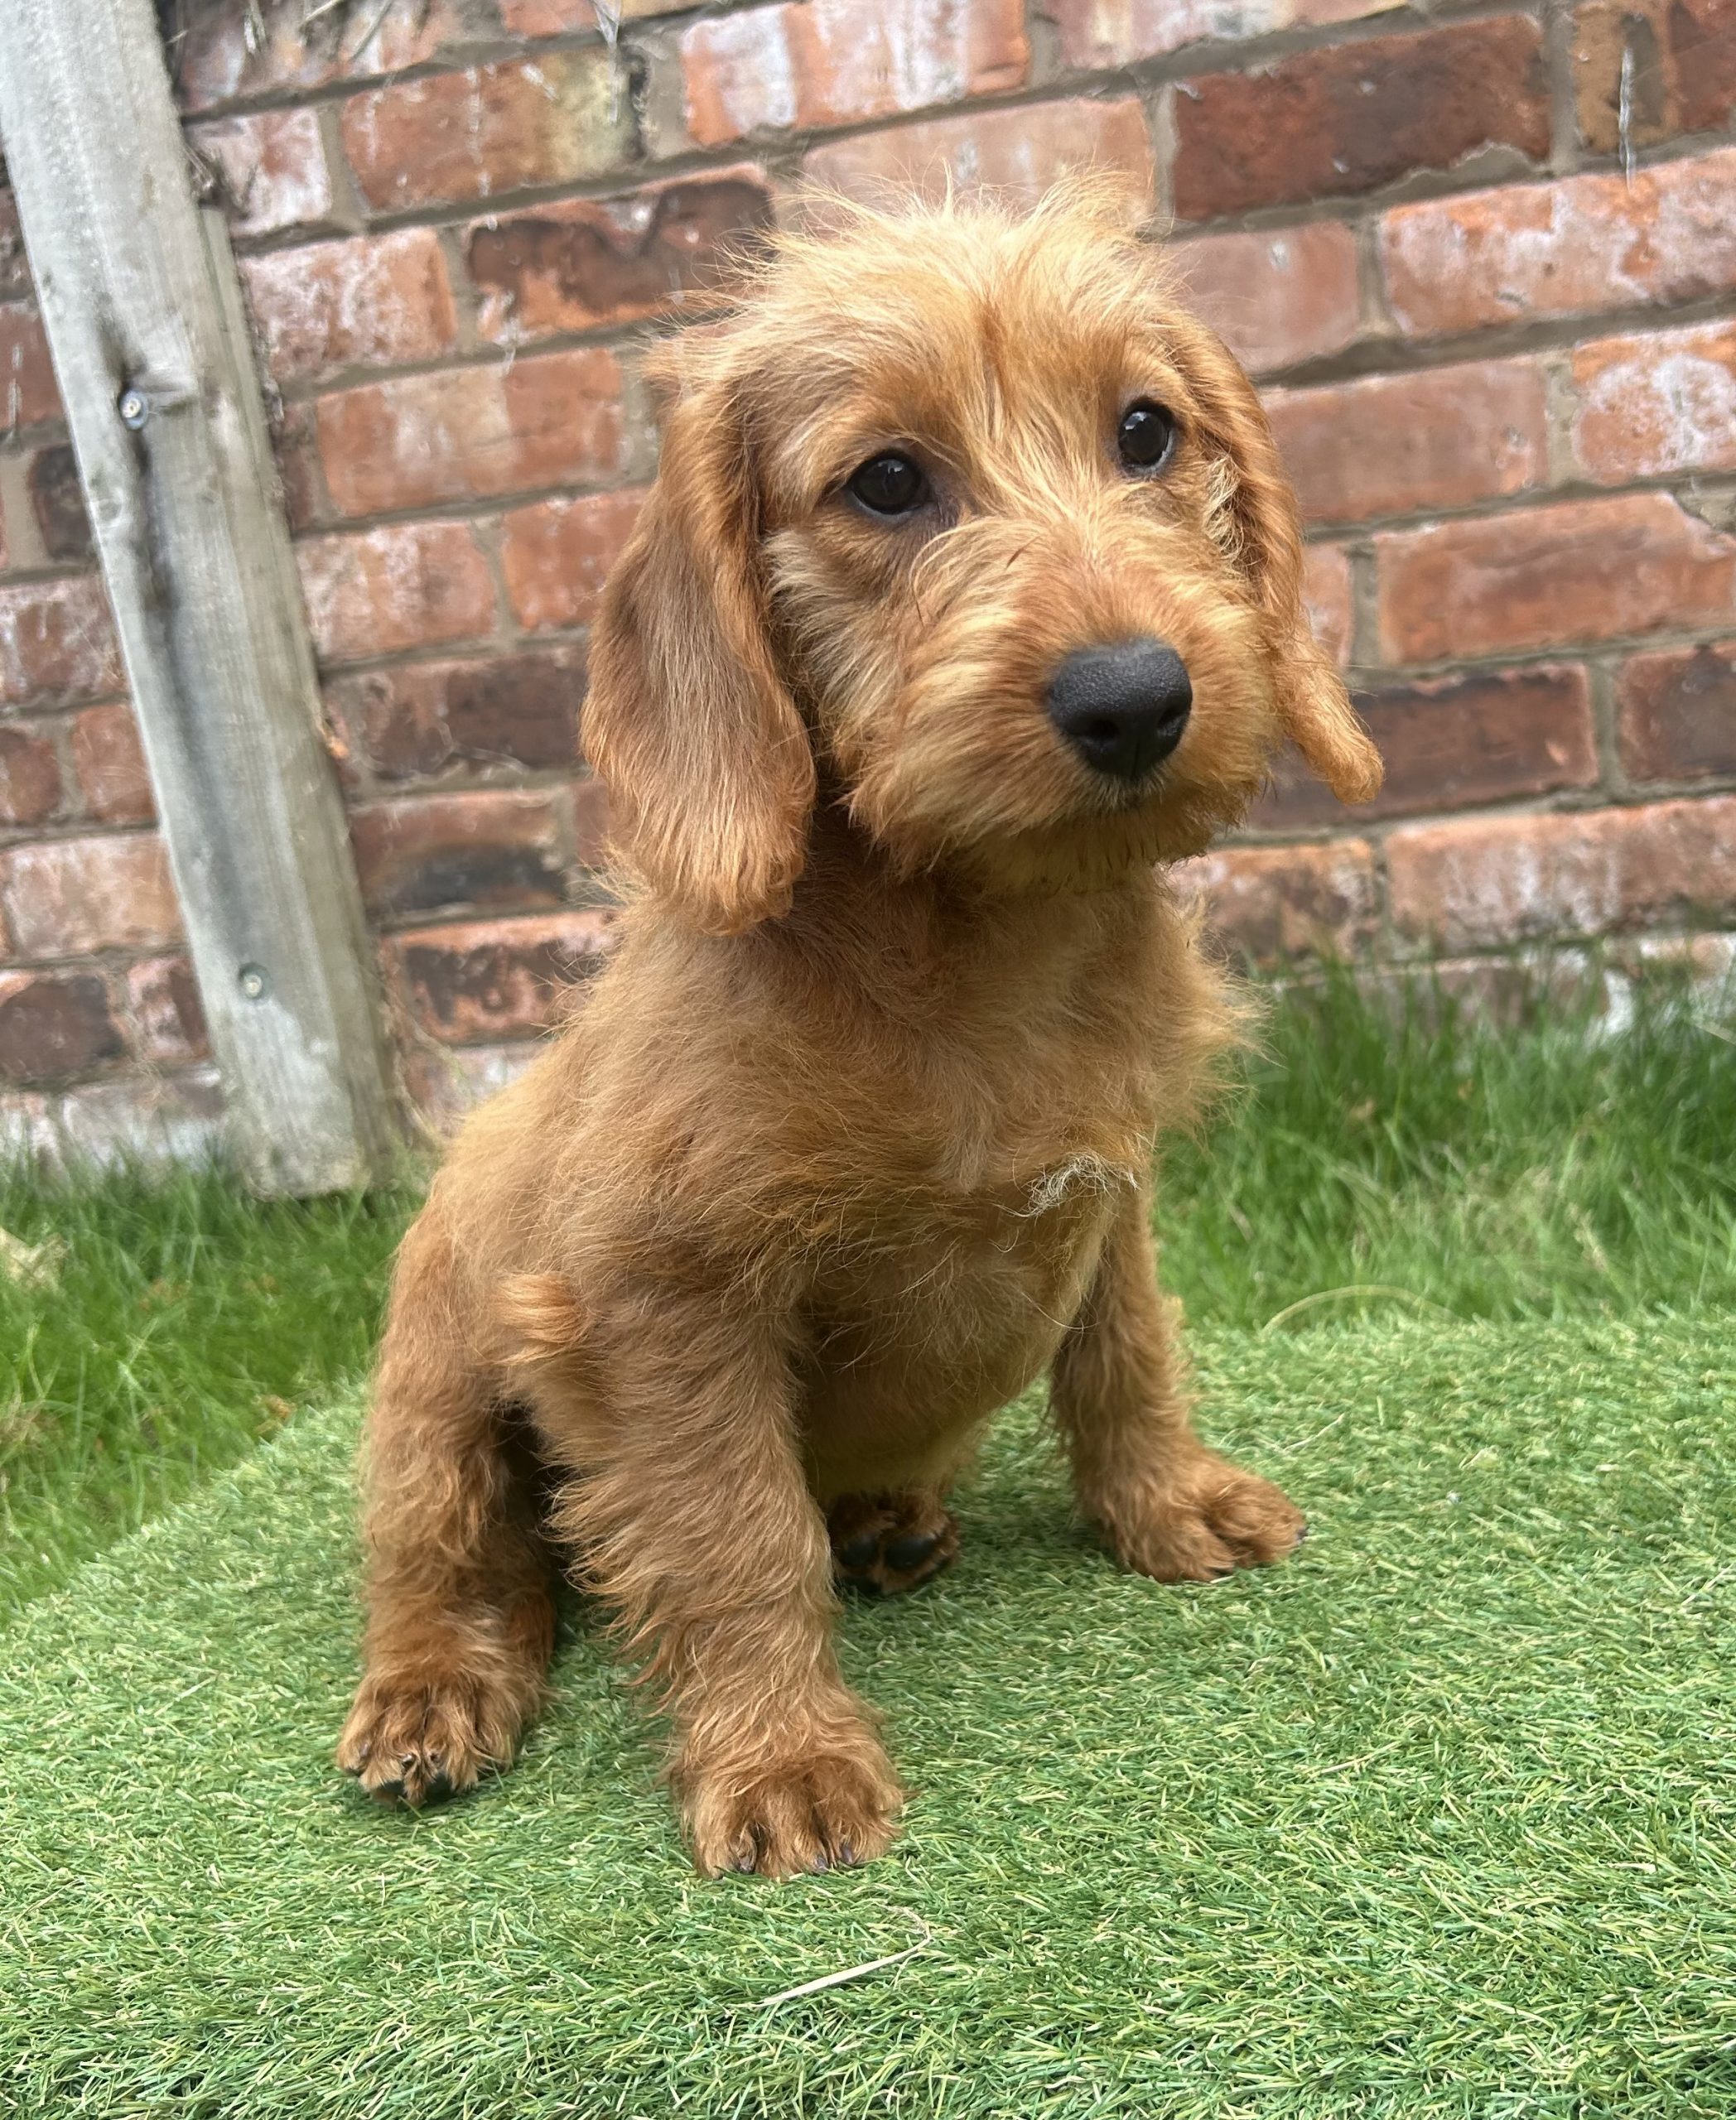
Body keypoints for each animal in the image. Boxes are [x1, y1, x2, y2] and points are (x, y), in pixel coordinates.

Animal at [336, 182, 1382, 1874]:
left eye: (1146, 432)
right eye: (887, 482)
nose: (1135, 698)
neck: (972, 945)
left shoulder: (1114, 1189)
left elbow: (1128, 1358)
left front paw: (1166, 1504)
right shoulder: (666, 1302)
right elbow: (734, 1532)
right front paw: (781, 1754)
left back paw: (890, 1523)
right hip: (431, 1372)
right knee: (454, 1547)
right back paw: (438, 1684)